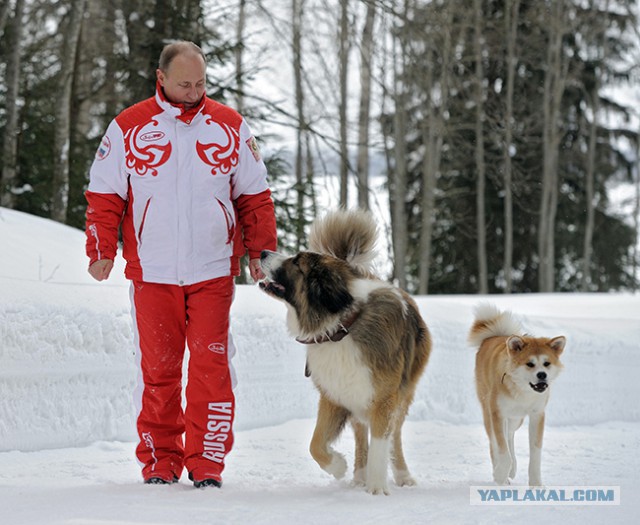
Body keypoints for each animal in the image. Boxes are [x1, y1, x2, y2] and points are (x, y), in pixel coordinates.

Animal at [258, 207, 430, 494]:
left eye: (296, 262)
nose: (262, 252)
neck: (343, 326)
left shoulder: (384, 398)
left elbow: (382, 444)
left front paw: (377, 487)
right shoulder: (333, 394)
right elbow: (315, 443)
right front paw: (338, 466)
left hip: (403, 391)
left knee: (394, 435)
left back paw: (401, 475)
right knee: (361, 433)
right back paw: (359, 474)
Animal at [468, 304, 568, 486]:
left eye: (546, 363)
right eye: (530, 364)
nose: (542, 375)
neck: (523, 391)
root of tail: (493, 336)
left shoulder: (537, 415)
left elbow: (535, 453)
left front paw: (536, 483)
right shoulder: (497, 413)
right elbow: (502, 450)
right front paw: (500, 474)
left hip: (516, 419)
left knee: (510, 436)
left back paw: (512, 469)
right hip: (489, 412)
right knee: (495, 443)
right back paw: (501, 471)